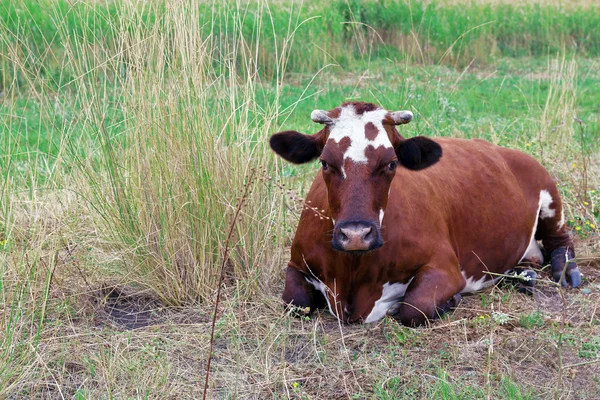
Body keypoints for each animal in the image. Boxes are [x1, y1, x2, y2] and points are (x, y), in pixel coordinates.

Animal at [270, 101, 580, 326]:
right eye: (325, 162)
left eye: (391, 163)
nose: (356, 235)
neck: (352, 275)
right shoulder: (297, 261)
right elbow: (295, 302)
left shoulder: (446, 267)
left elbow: (414, 307)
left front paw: (449, 301)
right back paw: (521, 274)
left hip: (549, 193)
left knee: (560, 240)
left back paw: (566, 271)